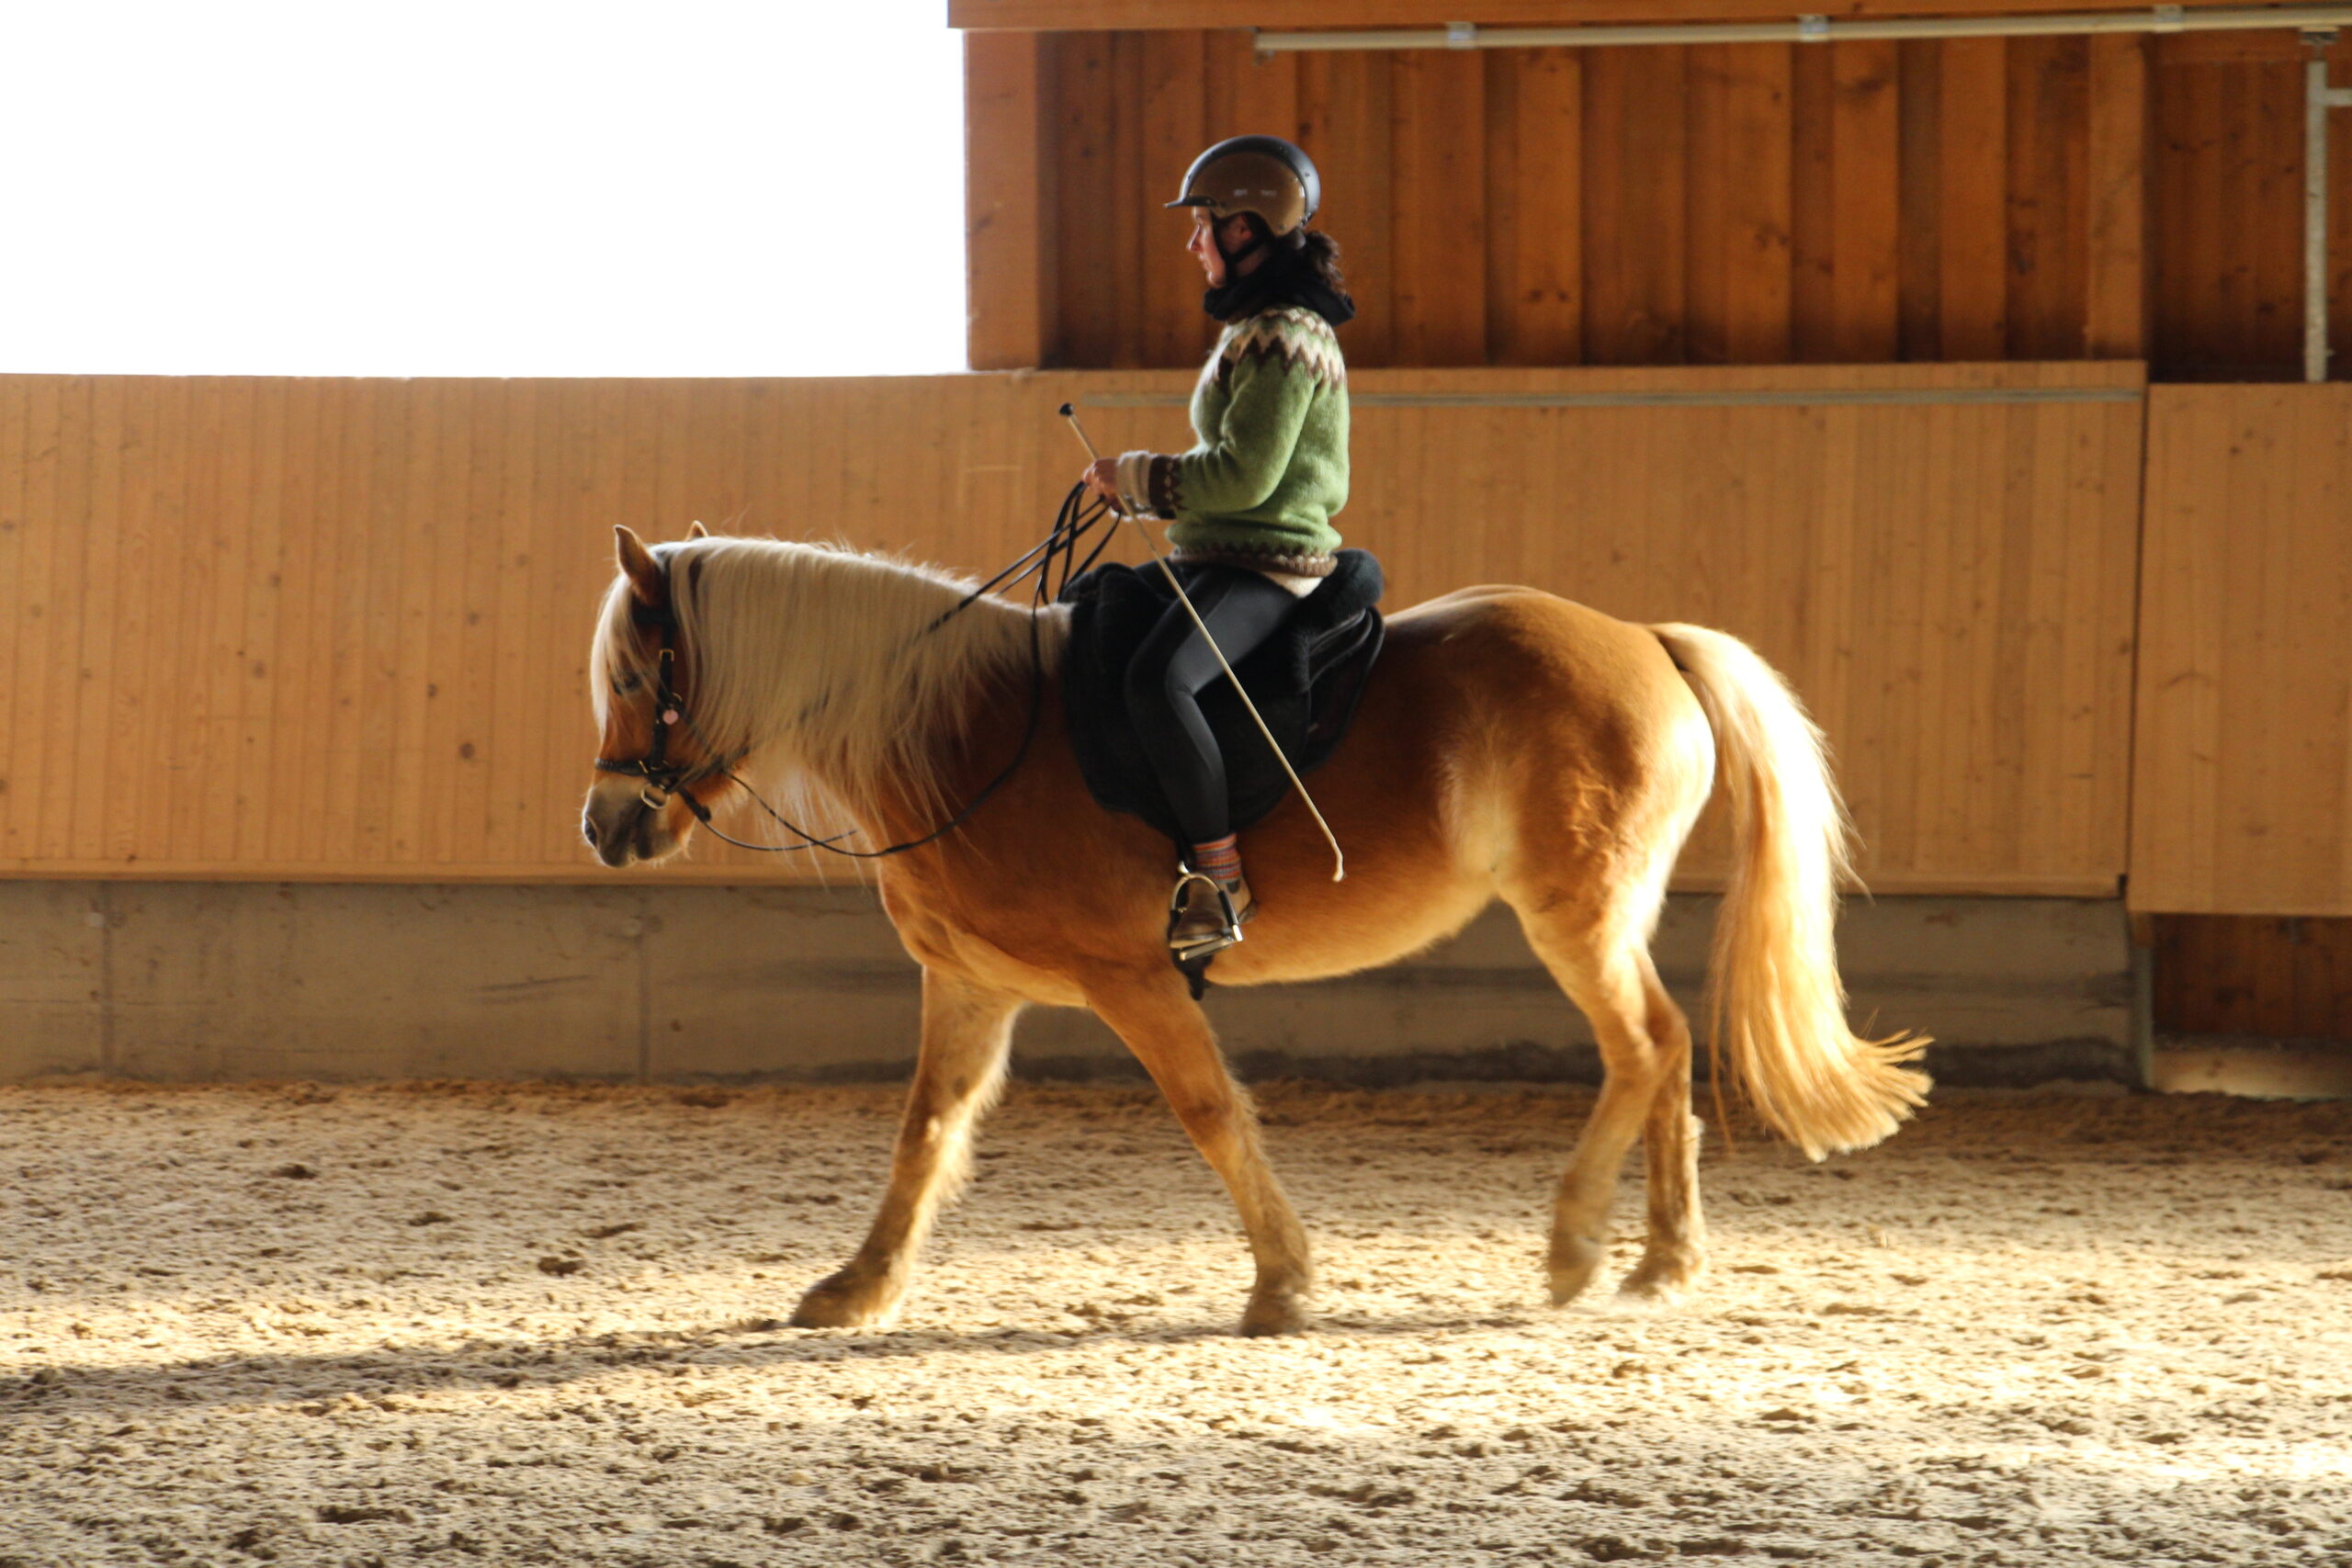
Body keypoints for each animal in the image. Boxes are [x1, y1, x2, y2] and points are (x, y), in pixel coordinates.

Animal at [582, 523, 1928, 1336]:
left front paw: (1282, 1281)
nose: (604, 826)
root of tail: (1645, 638)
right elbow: (926, 1132)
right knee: (1666, 1053)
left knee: (1643, 1046)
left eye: (639, 678)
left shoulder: (1133, 977)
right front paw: (858, 1287)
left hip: (1579, 917)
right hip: (1605, 918)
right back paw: (1662, 1260)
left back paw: (1577, 1250)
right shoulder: (971, 984)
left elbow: (1210, 1111)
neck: (961, 736)